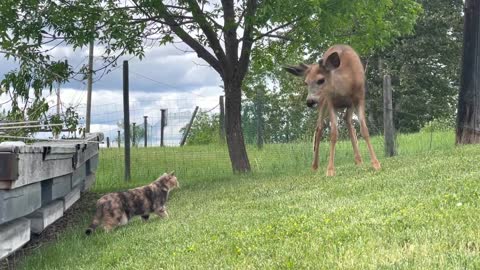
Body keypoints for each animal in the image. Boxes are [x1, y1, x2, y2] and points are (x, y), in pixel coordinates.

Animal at [284, 44, 380, 177]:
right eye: (306, 82)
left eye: (320, 80)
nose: (309, 101)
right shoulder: (330, 102)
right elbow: (333, 134)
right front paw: (330, 169)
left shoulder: (359, 98)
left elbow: (364, 129)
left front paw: (376, 163)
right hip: (323, 102)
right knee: (319, 127)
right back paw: (314, 166)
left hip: (347, 105)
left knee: (347, 120)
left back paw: (358, 160)